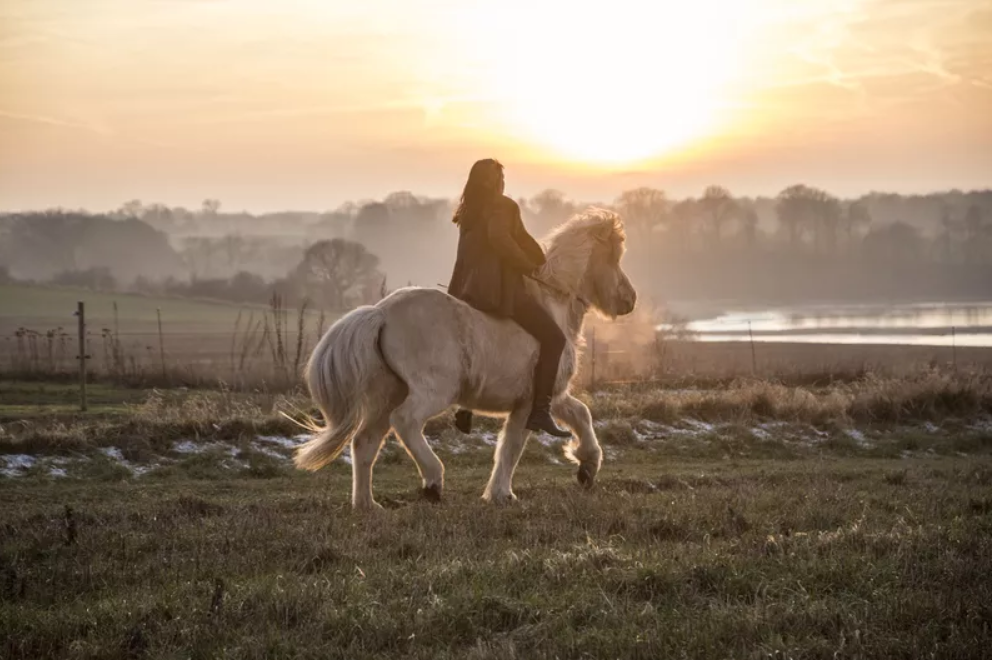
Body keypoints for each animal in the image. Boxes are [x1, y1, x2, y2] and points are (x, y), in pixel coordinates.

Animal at [292, 209, 636, 508]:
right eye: (613, 256)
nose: (629, 300)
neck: (553, 303)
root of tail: (380, 313)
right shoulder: (530, 403)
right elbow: (512, 447)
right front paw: (501, 494)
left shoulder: (550, 397)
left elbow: (579, 415)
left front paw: (587, 467)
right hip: (432, 393)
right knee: (405, 421)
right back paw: (433, 481)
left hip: (386, 395)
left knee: (364, 442)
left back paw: (367, 505)